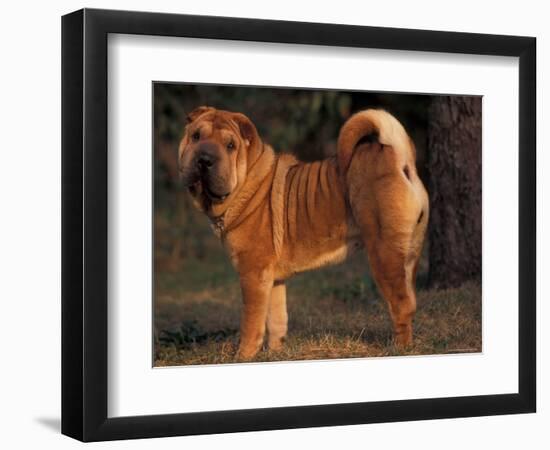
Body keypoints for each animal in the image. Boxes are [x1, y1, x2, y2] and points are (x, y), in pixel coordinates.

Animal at [179, 106, 430, 358]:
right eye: (196, 136)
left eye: (230, 145)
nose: (204, 159)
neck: (246, 183)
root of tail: (398, 156)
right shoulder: (273, 279)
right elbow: (277, 319)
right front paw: (275, 353)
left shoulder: (253, 274)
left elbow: (251, 322)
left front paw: (243, 356)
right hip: (410, 253)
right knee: (412, 299)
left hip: (383, 253)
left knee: (401, 305)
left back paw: (399, 348)